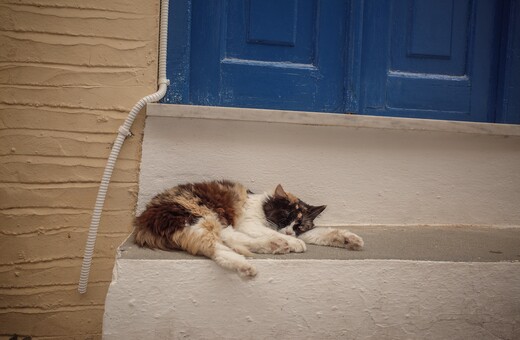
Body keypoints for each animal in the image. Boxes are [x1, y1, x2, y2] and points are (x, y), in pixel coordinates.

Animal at [133, 179, 362, 278]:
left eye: (299, 224)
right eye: (284, 217)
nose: (289, 232)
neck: (261, 205)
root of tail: (143, 220)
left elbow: (321, 233)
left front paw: (350, 239)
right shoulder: (249, 223)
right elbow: (272, 230)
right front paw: (295, 242)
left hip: (216, 223)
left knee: (232, 240)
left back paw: (276, 245)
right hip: (199, 217)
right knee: (215, 248)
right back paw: (247, 265)